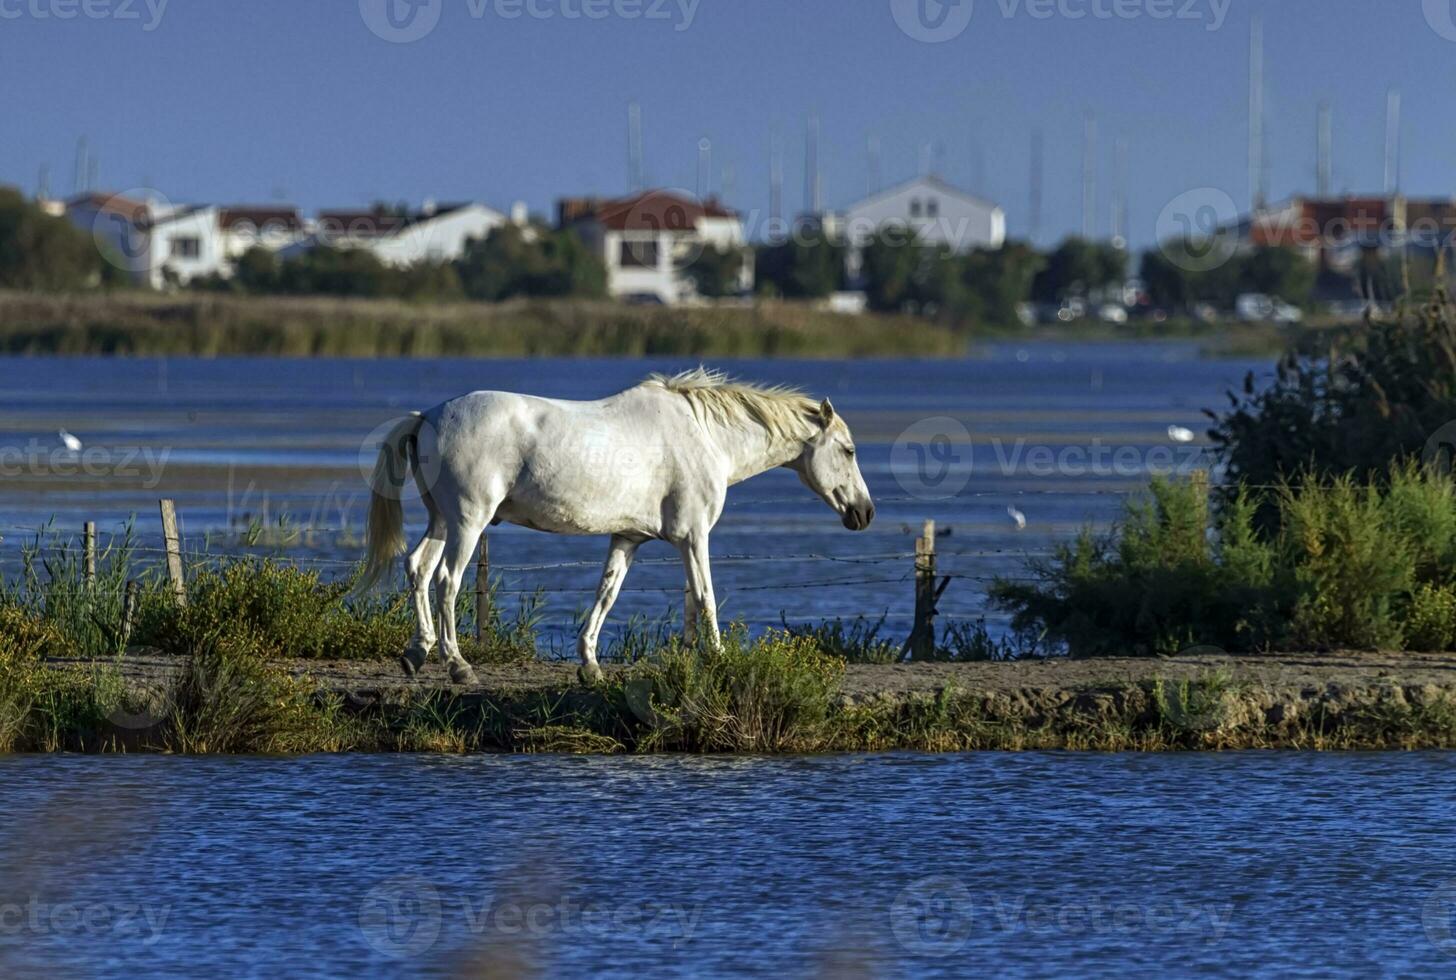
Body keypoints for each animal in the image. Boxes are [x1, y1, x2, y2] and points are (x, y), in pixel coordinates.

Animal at [359, 371, 873, 684]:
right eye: (848, 450)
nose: (864, 513)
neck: (705, 438)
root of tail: (427, 417)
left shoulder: (630, 538)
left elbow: (609, 594)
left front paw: (591, 665)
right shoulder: (694, 537)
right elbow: (705, 597)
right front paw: (719, 659)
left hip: (442, 520)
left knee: (418, 568)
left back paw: (417, 653)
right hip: (468, 521)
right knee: (447, 580)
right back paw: (458, 665)